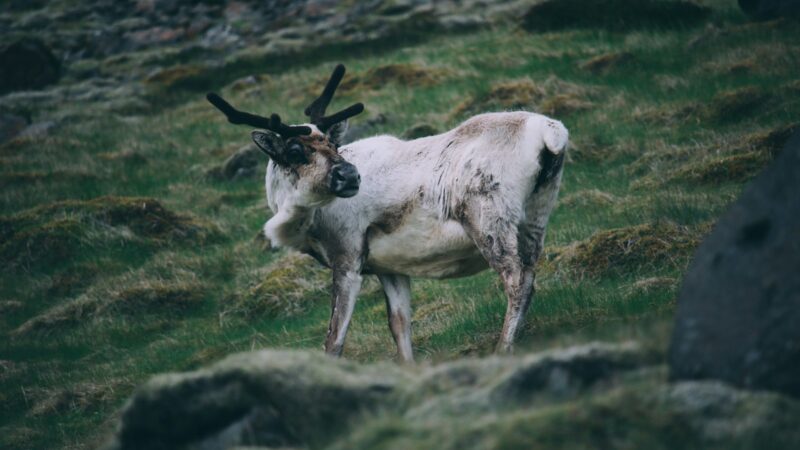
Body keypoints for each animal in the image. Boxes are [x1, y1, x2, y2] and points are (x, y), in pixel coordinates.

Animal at [206, 64, 568, 363]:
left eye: (332, 144)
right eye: (295, 150)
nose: (350, 175)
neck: (307, 222)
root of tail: (551, 133)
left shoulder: (347, 256)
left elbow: (334, 338)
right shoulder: (389, 267)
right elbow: (399, 324)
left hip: (488, 217)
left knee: (515, 278)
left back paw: (503, 348)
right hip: (536, 217)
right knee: (530, 273)